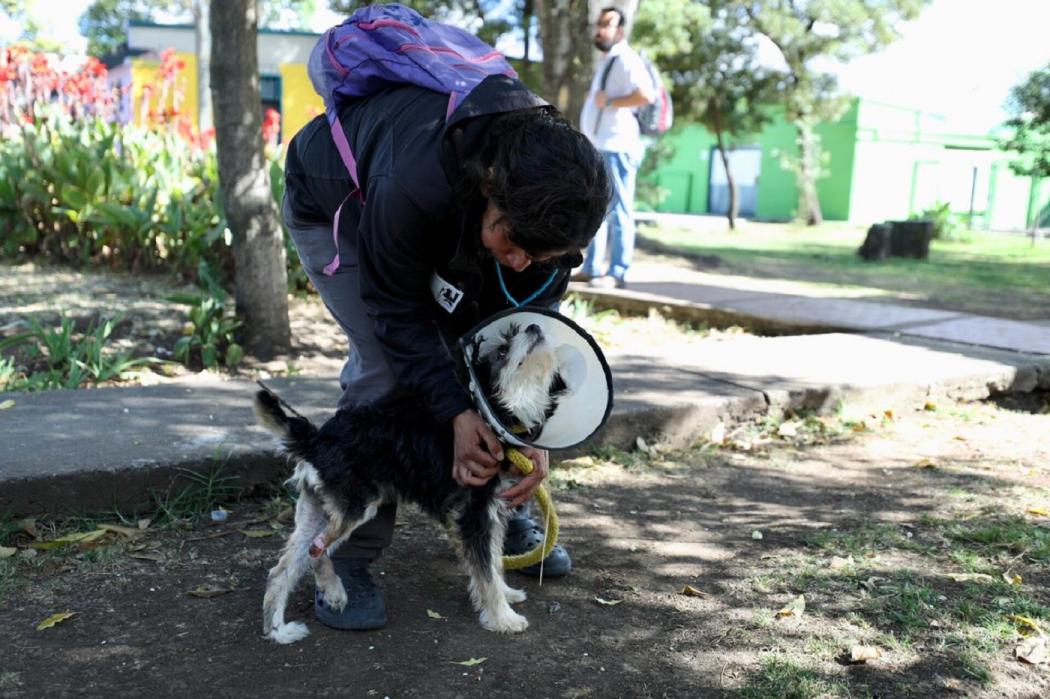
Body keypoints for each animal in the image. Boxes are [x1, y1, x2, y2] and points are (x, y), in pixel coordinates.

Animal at [255, 321, 567, 642]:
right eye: (502, 351)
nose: (534, 324)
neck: (492, 414)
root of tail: (316, 439)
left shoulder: (490, 514)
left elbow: (493, 560)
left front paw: (506, 594)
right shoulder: (475, 513)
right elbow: (486, 570)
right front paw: (503, 616)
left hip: (318, 509)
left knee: (285, 568)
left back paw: (280, 630)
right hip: (355, 507)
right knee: (318, 549)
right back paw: (333, 591)